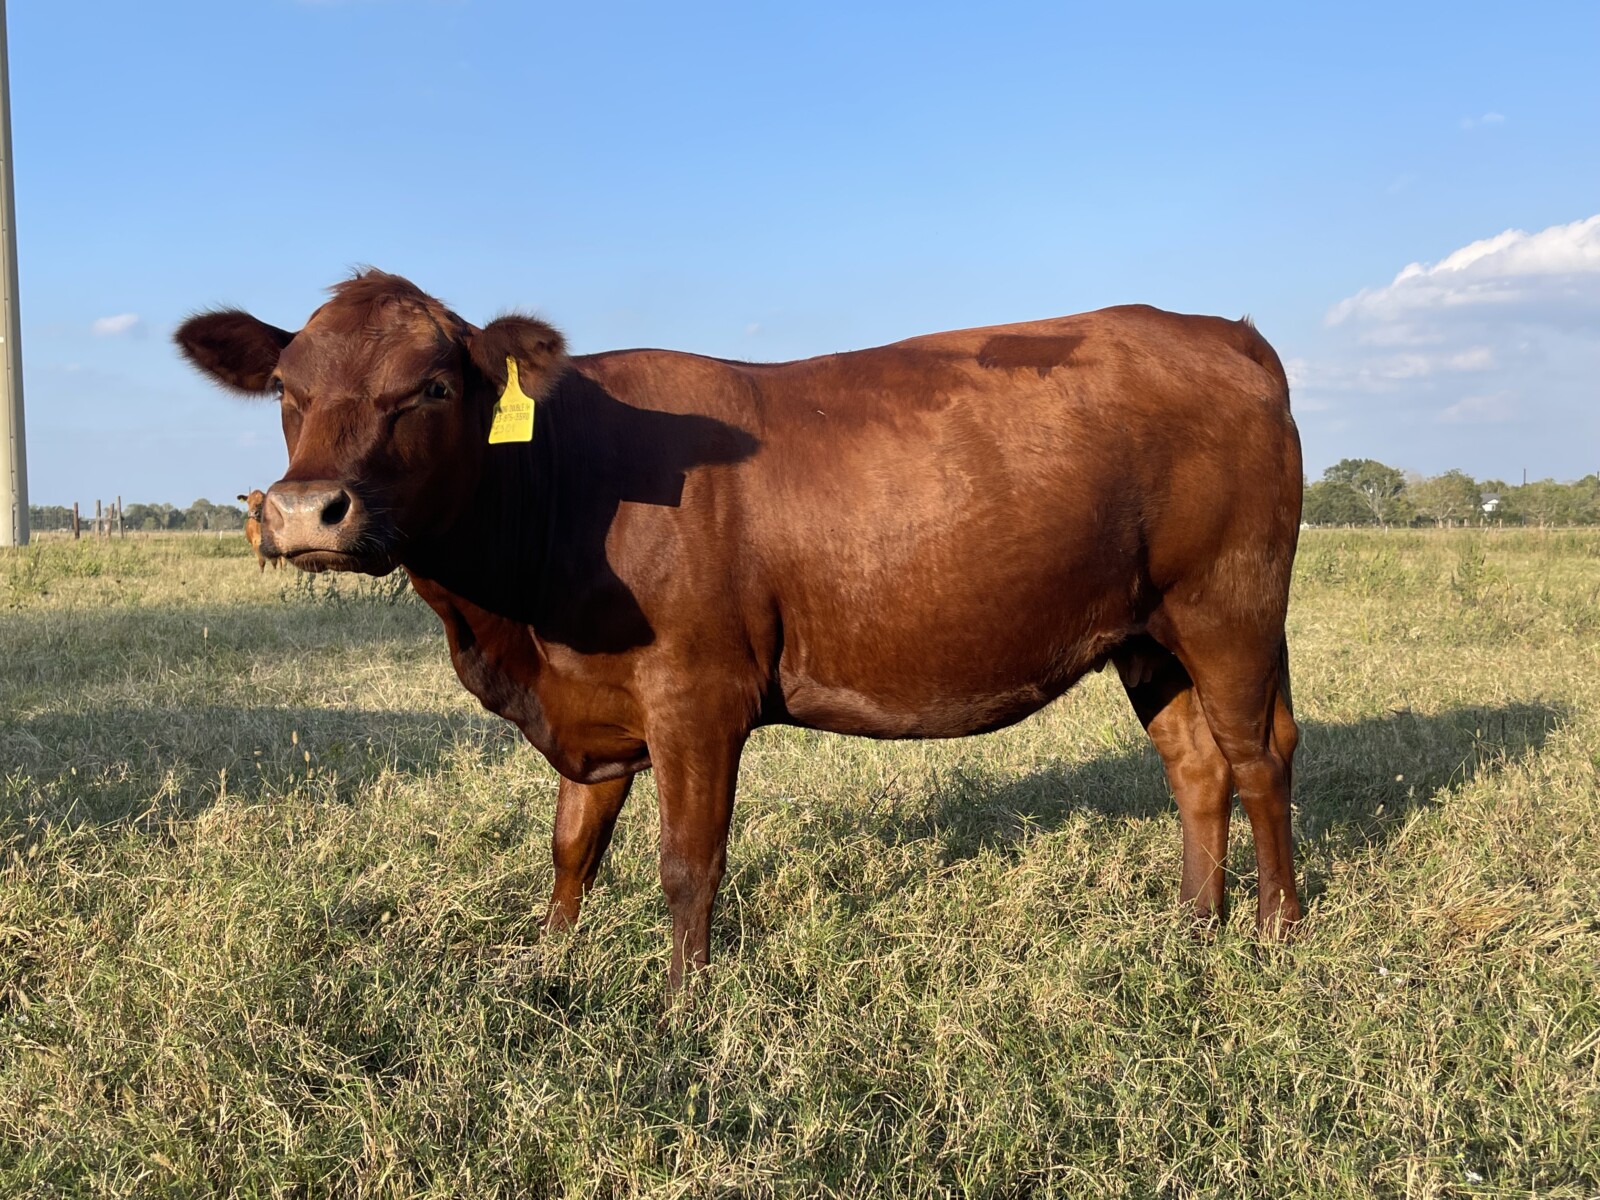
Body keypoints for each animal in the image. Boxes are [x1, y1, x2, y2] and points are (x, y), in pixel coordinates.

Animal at [176, 270, 1304, 988]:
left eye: (435, 386)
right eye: (286, 389)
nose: (304, 512)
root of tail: (1223, 330)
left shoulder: (698, 694)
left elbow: (688, 863)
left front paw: (683, 1010)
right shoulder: (596, 705)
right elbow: (571, 848)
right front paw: (549, 966)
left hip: (1232, 605)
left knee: (1259, 758)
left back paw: (1273, 934)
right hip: (1144, 634)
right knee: (1195, 766)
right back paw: (1191, 929)